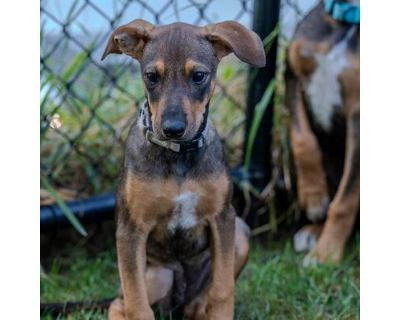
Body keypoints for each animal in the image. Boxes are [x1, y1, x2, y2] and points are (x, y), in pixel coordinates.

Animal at [102, 19, 266, 318]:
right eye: (151, 76)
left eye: (199, 76)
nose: (172, 129)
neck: (178, 157)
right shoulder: (130, 230)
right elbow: (137, 305)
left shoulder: (223, 217)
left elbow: (222, 290)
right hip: (156, 275)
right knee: (120, 302)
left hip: (240, 232)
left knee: (202, 299)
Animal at [286, 0, 360, 264]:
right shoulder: (293, 75)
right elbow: (302, 140)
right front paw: (313, 196)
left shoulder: (359, 114)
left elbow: (346, 199)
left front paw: (325, 254)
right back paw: (311, 231)